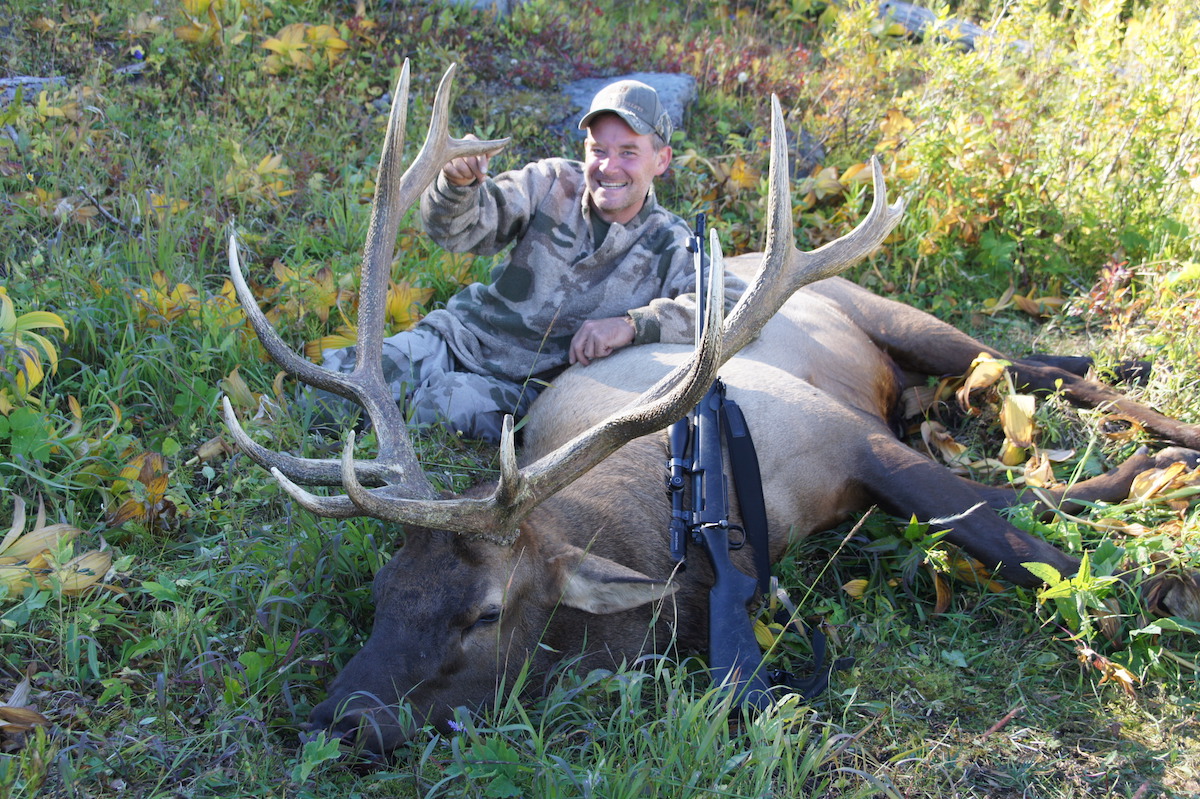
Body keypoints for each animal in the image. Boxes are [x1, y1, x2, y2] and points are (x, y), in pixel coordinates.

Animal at [222, 62, 1200, 755]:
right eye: (384, 589)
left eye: (488, 612)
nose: (337, 719)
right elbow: (1018, 508)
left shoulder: (853, 442)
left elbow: (1021, 541)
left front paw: (1139, 595)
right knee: (1025, 382)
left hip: (896, 315)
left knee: (1044, 373)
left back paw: (1168, 435)